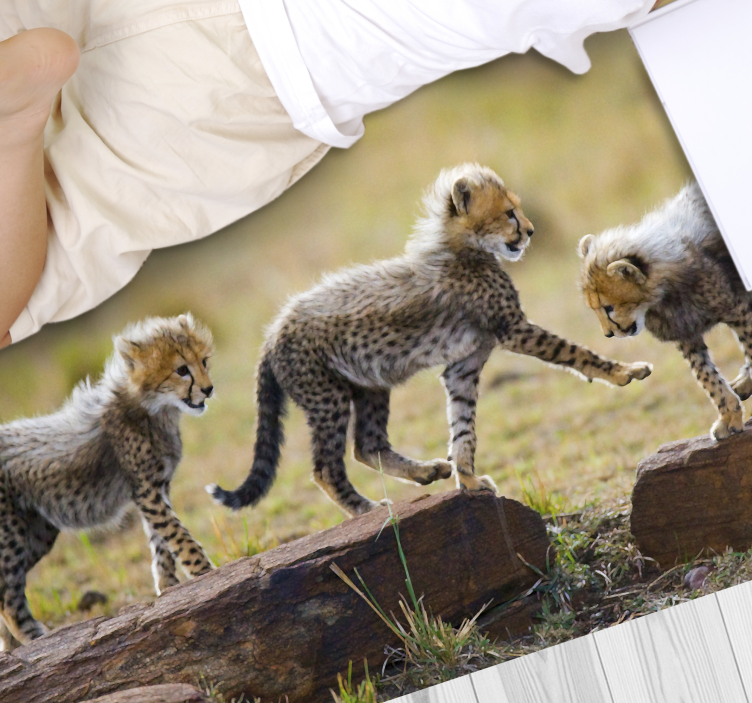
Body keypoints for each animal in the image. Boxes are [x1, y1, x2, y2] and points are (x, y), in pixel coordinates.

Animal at [0, 313, 215, 650]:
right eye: (182, 369)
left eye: (204, 361)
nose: (208, 389)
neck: (154, 408)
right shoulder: (147, 490)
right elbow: (178, 536)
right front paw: (205, 572)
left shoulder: (157, 488)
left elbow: (161, 543)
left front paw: (168, 587)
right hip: (11, 538)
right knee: (8, 600)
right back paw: (35, 639)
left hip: (37, 535)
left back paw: (12, 647)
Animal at [207, 163, 652, 518]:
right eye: (509, 212)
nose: (530, 230)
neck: (465, 248)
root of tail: (271, 334)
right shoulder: (513, 329)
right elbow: (575, 352)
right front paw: (624, 371)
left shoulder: (463, 366)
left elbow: (463, 427)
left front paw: (467, 479)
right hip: (326, 397)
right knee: (325, 467)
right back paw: (367, 509)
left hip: (368, 384)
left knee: (367, 445)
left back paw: (426, 471)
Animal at [579, 181, 752, 440]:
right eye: (594, 309)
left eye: (608, 307)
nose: (608, 334)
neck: (662, 296)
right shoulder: (686, 336)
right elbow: (707, 378)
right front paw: (728, 417)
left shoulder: (737, 311)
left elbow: (749, 349)